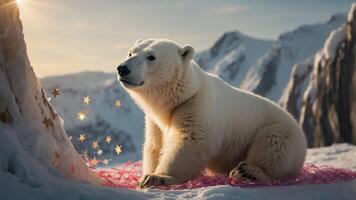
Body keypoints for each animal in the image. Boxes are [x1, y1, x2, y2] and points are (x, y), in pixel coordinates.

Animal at [116, 39, 306, 189]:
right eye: (131, 52)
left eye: (151, 57)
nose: (122, 68)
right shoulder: (156, 121)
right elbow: (155, 145)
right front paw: (146, 175)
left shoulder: (196, 104)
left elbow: (190, 140)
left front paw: (157, 177)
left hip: (281, 131)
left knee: (274, 145)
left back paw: (248, 171)